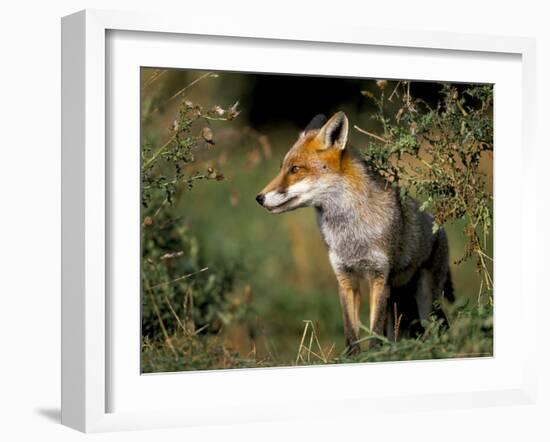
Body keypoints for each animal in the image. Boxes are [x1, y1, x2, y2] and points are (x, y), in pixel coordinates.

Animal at [256, 111, 454, 356]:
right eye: (282, 168)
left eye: (295, 169)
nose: (259, 198)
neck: (351, 236)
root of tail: (439, 225)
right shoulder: (345, 279)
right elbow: (351, 334)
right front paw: (353, 358)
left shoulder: (380, 278)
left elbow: (375, 333)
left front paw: (375, 356)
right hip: (399, 302)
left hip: (426, 300)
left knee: (436, 328)